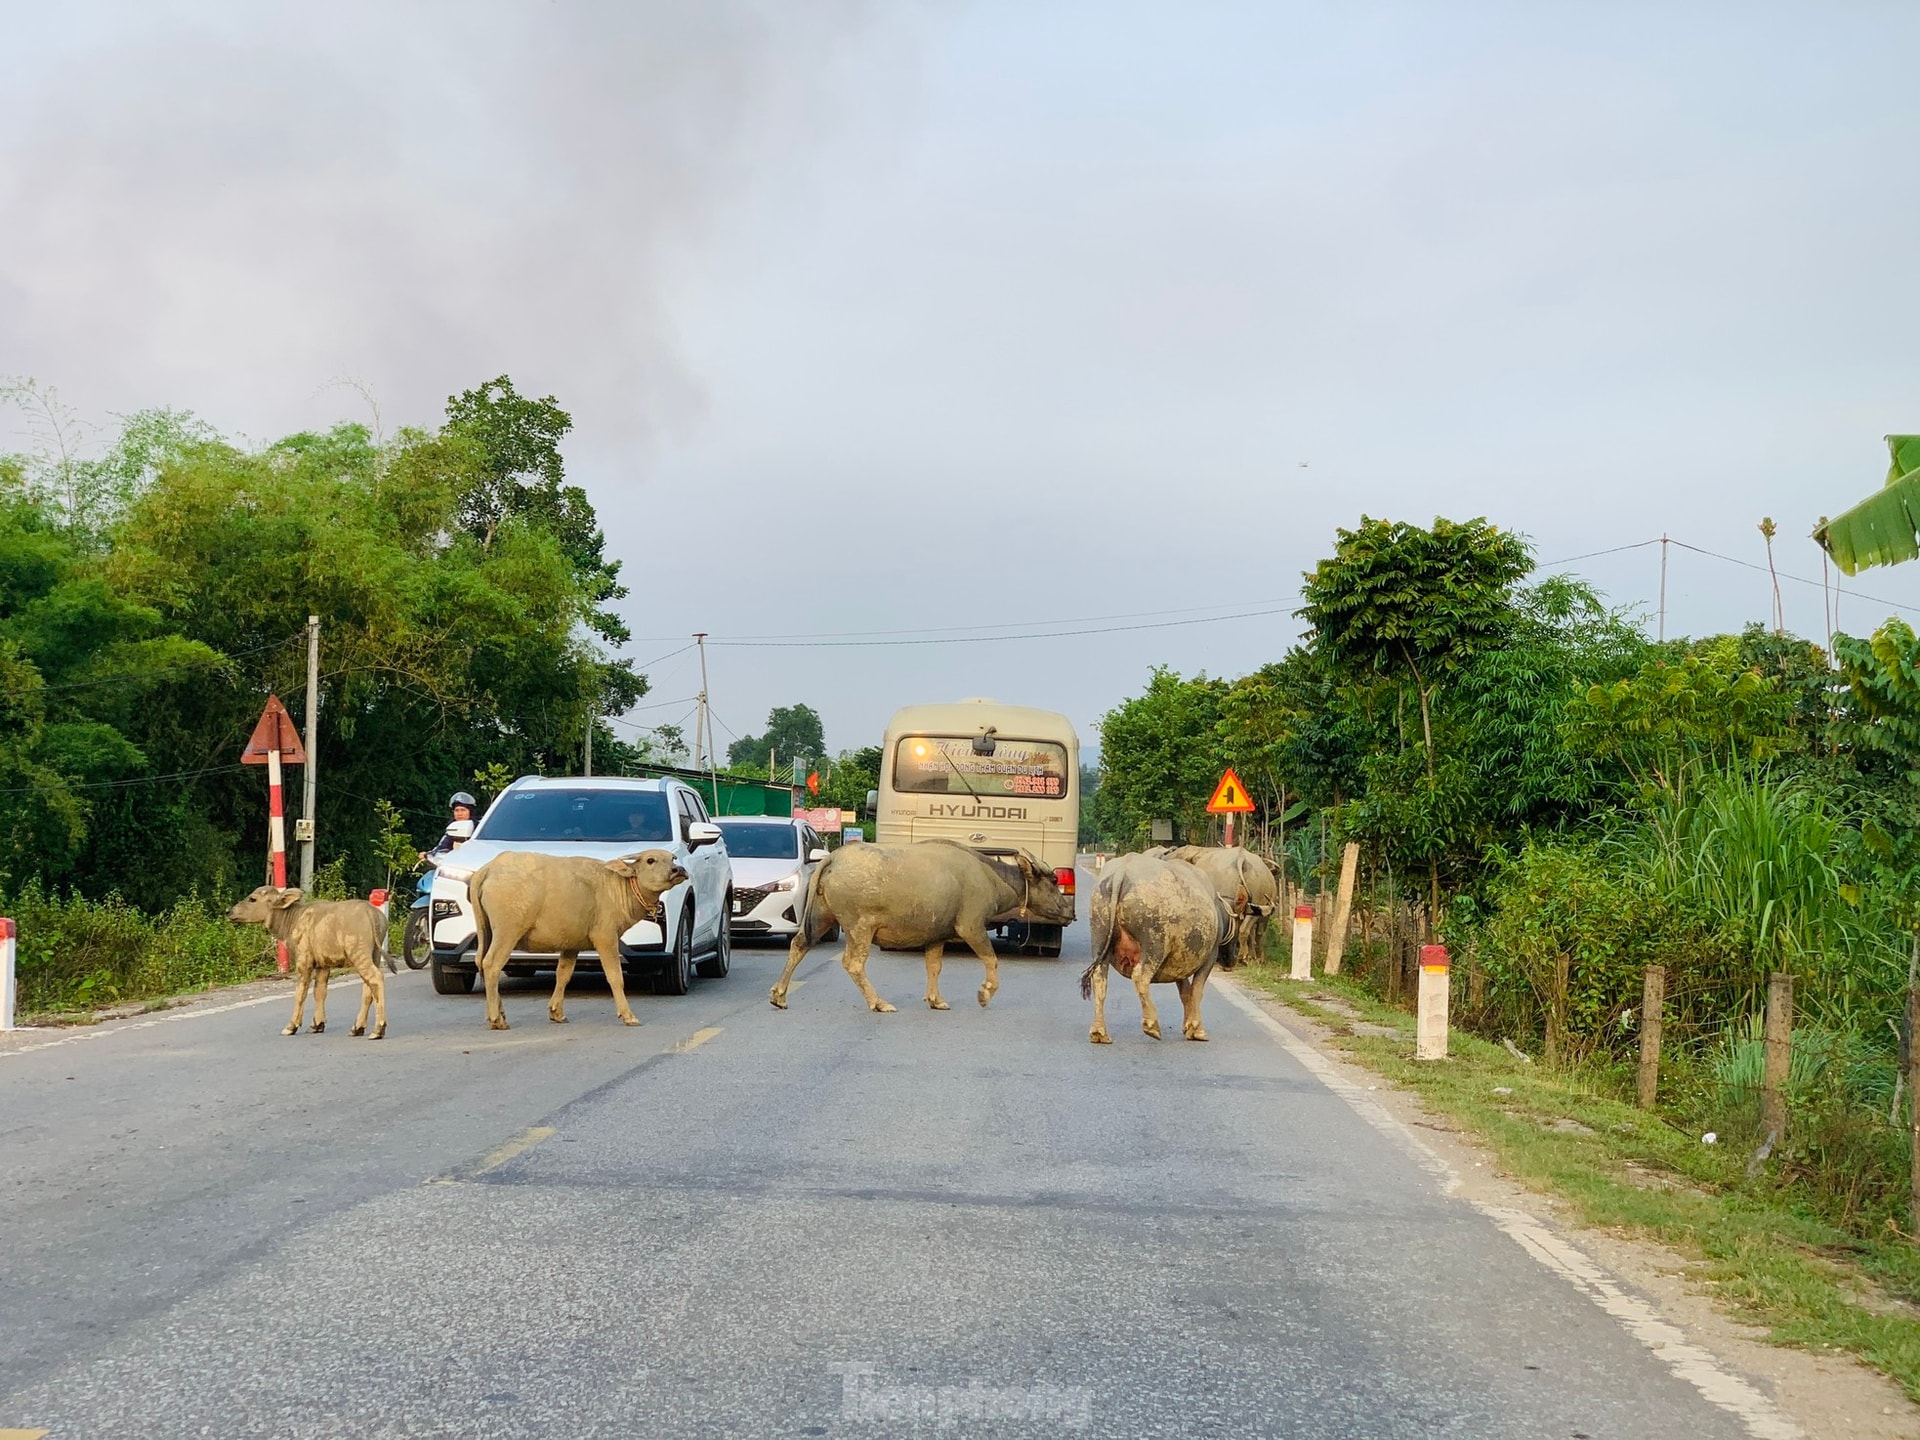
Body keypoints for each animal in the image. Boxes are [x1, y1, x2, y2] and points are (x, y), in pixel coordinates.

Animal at [226, 887, 387, 1044]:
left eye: (252, 899)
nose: (229, 911)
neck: (289, 924)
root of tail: (373, 914)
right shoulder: (323, 964)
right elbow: (319, 992)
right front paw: (317, 1024)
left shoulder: (304, 960)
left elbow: (300, 993)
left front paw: (291, 1026)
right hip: (374, 954)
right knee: (368, 987)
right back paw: (357, 1028)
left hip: (358, 952)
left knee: (376, 977)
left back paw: (378, 1029)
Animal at [468, 852, 687, 1029]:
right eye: (651, 860)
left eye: (673, 858)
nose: (678, 869)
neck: (616, 887)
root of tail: (489, 869)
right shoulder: (606, 938)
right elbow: (615, 977)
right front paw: (628, 1016)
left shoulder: (571, 944)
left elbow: (563, 975)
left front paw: (556, 1013)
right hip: (507, 931)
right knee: (491, 965)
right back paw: (497, 1019)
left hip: (487, 931)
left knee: (482, 963)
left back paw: (498, 1014)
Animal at [1082, 856, 1228, 1052]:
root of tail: (1122, 870)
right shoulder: (1210, 956)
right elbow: (1196, 991)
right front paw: (1197, 1030)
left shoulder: (1179, 963)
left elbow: (1185, 993)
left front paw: (1188, 1027)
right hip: (1155, 943)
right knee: (1140, 976)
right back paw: (1152, 1026)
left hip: (1099, 934)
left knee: (1100, 978)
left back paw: (1099, 1033)